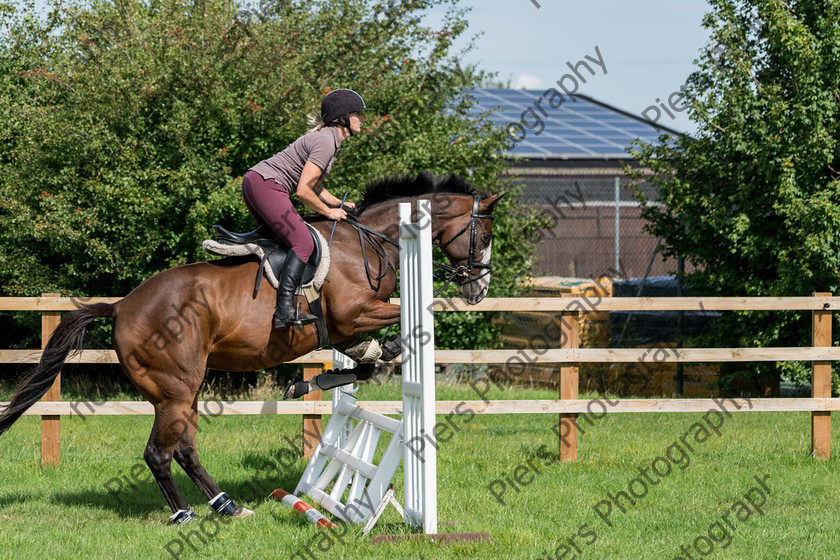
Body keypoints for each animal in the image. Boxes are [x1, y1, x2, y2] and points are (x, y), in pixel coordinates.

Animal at [0, 173, 502, 524]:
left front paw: (324, 379)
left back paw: (228, 506)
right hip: (175, 388)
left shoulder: (344, 330)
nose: (478, 290)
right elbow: (402, 325)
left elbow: (363, 359)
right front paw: (366, 359)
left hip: (183, 391)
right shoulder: (352, 316)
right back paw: (184, 516)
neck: (368, 242)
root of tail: (123, 305)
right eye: (485, 236)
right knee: (159, 454)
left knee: (184, 450)